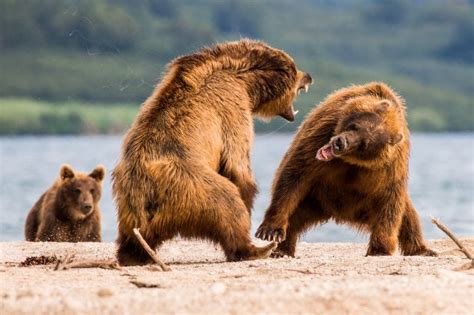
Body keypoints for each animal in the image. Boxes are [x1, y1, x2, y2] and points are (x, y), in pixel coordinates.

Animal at [110, 39, 312, 266]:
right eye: (295, 68)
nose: (309, 75)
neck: (245, 80)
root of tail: (146, 192)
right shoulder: (231, 106)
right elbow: (237, 164)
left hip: (127, 208)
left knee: (130, 241)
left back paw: (131, 256)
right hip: (192, 186)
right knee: (227, 203)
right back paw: (257, 249)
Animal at [256, 82, 436, 258]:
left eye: (364, 143)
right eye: (355, 126)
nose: (340, 143)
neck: (352, 162)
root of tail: (338, 213)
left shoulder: (390, 167)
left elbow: (390, 201)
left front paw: (379, 249)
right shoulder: (322, 132)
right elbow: (296, 174)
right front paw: (270, 231)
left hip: (364, 204)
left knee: (407, 216)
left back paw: (422, 249)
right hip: (312, 198)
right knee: (293, 216)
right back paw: (281, 249)